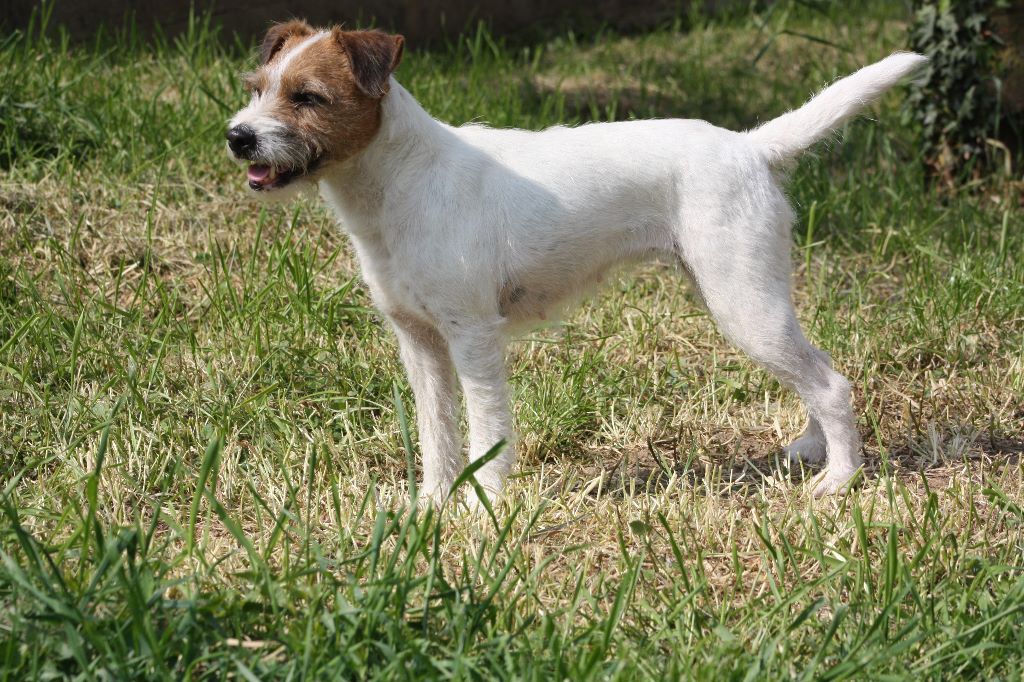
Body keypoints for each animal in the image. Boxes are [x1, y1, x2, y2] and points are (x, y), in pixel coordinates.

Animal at [226, 19, 929, 503]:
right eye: (258, 89)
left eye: (309, 97)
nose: (238, 136)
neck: (402, 180)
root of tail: (750, 148)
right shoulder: (420, 343)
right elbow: (437, 433)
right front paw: (432, 502)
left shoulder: (473, 338)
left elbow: (486, 427)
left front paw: (483, 505)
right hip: (752, 302)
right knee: (813, 370)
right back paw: (814, 449)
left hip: (743, 304)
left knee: (831, 382)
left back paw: (839, 480)